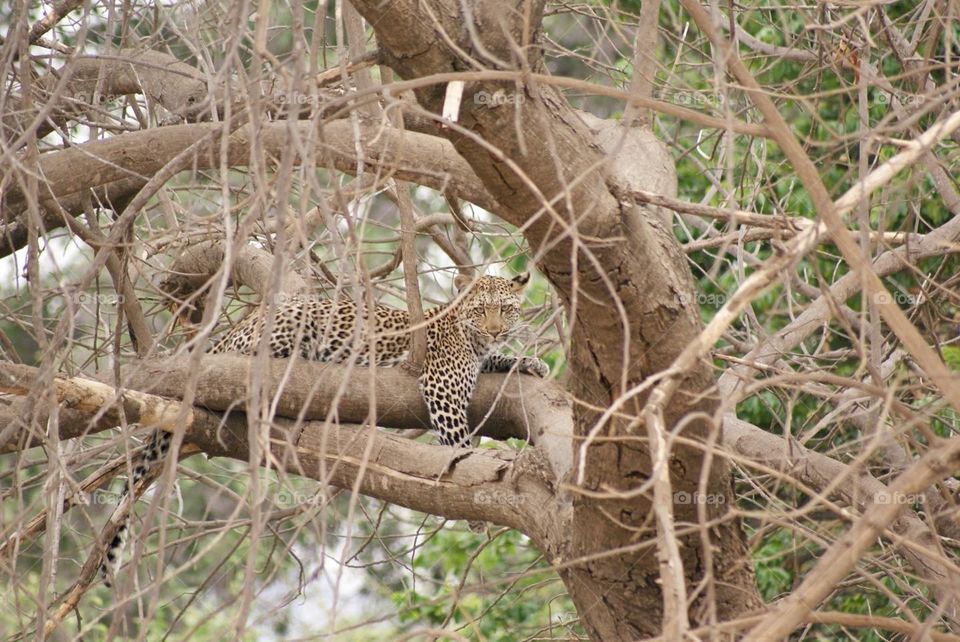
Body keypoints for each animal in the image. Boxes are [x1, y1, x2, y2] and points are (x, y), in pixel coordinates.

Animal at [99, 272, 548, 584]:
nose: (495, 329)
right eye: (480, 310)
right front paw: (477, 516)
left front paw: (530, 361)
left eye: (506, 309)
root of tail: (226, 336)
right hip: (290, 321)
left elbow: (501, 359)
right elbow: (459, 442)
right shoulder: (443, 387)